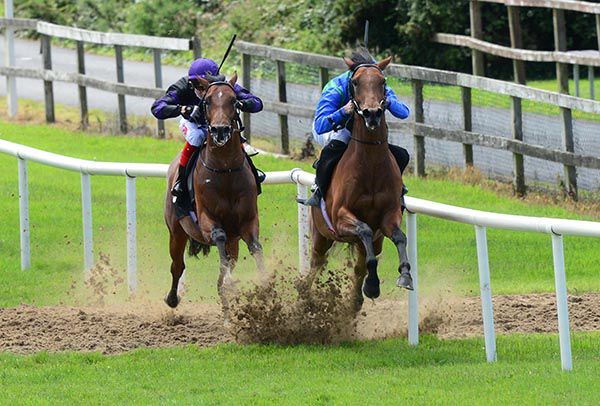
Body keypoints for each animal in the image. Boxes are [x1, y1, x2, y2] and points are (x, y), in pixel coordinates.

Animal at [163, 73, 264, 317]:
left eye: (234, 100)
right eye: (207, 102)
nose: (219, 130)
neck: (225, 170)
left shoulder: (248, 221)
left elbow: (255, 248)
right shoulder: (207, 219)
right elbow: (218, 237)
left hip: (233, 240)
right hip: (176, 230)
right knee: (177, 266)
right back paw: (172, 298)